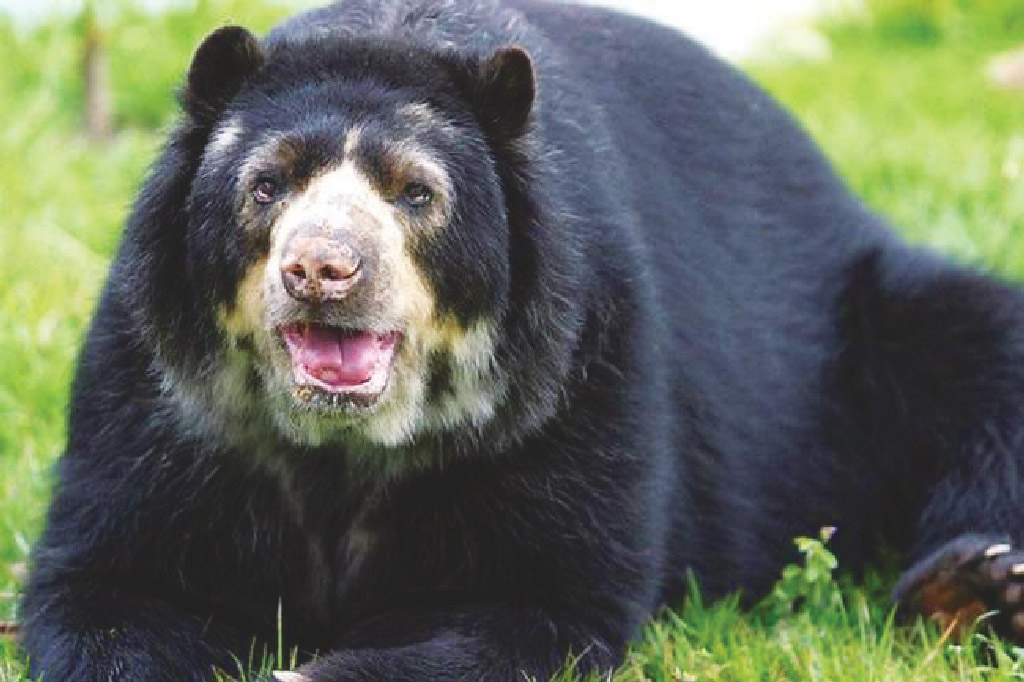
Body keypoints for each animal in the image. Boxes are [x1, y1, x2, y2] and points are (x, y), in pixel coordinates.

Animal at [18, 1, 1024, 679]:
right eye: (266, 185)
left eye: (416, 192)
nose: (324, 269)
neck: (343, 448)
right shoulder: (158, 397)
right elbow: (111, 580)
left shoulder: (576, 380)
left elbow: (536, 599)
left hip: (868, 326)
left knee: (981, 355)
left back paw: (976, 585)